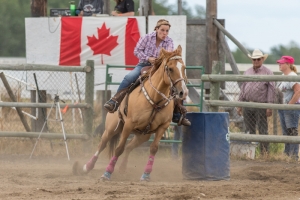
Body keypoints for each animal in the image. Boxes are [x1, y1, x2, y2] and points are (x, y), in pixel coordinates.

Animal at [73, 45, 189, 181]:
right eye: (170, 68)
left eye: (184, 68)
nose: (183, 92)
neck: (155, 100)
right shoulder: (129, 125)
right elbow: (119, 149)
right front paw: (107, 173)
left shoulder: (163, 127)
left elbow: (153, 149)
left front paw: (146, 175)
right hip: (111, 128)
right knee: (102, 145)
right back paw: (87, 167)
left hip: (143, 135)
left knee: (129, 146)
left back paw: (122, 168)